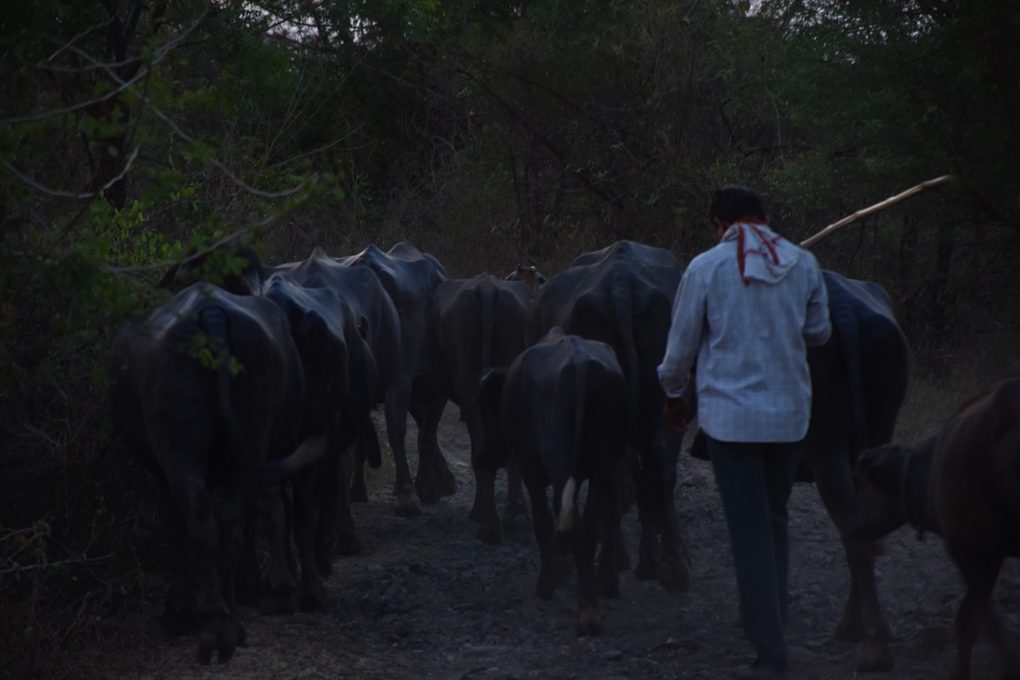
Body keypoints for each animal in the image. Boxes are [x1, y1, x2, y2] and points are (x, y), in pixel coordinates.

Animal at [108, 283, 306, 664]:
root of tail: (210, 314)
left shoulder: (159, 475)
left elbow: (175, 532)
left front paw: (177, 612)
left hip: (177, 447)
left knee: (199, 517)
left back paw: (212, 622)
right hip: (249, 441)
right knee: (230, 522)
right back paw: (230, 621)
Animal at [477, 330, 628, 640]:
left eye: (486, 408)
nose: (481, 457)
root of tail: (580, 365)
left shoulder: (530, 469)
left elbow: (543, 521)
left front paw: (546, 583)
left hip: (559, 467)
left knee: (573, 523)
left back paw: (587, 611)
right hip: (604, 465)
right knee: (590, 521)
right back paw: (591, 596)